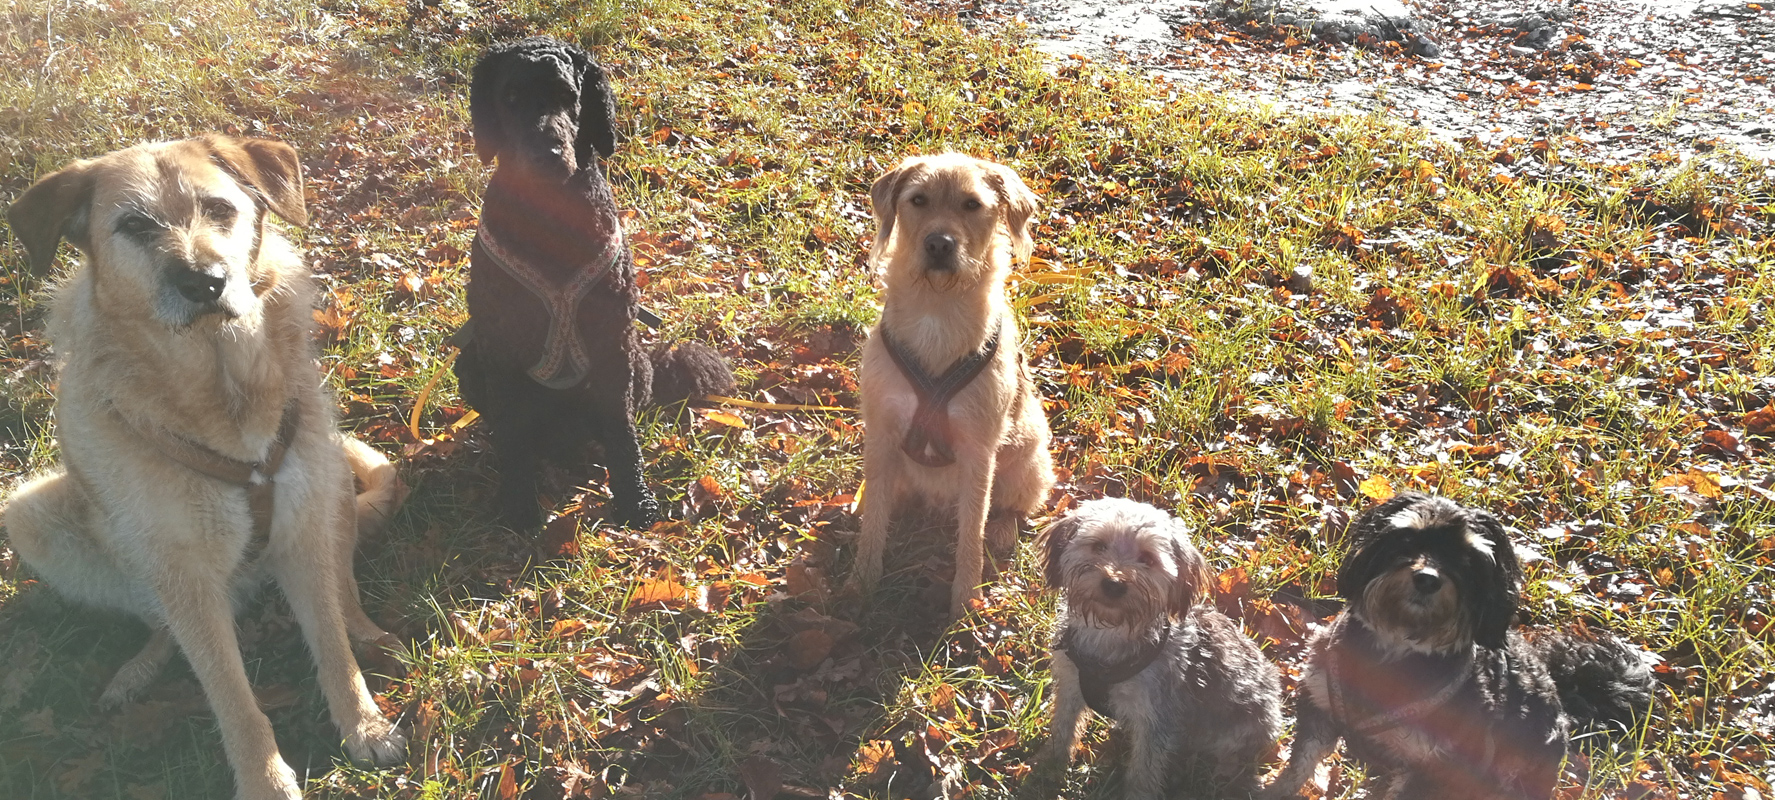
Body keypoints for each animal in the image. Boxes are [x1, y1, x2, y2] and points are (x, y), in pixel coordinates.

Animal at [4, 134, 406, 798]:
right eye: (134, 225)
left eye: (220, 210)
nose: (205, 282)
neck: (222, 385)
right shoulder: (186, 579)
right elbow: (232, 698)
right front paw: (265, 780)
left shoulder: (300, 531)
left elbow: (332, 648)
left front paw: (364, 724)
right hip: (31, 517)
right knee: (161, 626)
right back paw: (137, 671)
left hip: (328, 489)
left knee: (342, 589)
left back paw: (369, 633)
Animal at [461, 37, 738, 532]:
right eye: (510, 96)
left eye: (567, 96)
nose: (547, 155)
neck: (549, 220)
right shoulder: (500, 348)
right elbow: (512, 435)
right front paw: (518, 502)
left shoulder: (612, 341)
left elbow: (622, 432)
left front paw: (634, 500)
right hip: (472, 362)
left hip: (634, 364)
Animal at [855, 151, 1050, 620]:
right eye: (918, 200)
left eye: (972, 205)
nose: (940, 244)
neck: (937, 310)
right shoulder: (881, 434)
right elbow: (874, 519)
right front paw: (861, 580)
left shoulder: (978, 452)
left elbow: (971, 532)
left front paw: (965, 599)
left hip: (1027, 464)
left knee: (1010, 509)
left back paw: (1003, 529)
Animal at [1036, 496, 1285, 798]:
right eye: (1099, 546)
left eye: (1147, 559)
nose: (1114, 584)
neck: (1110, 634)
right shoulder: (1070, 682)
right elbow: (1063, 725)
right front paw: (1049, 764)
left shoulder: (1155, 717)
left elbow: (1144, 770)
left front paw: (1137, 794)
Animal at [1263, 493, 1647, 800]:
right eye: (1407, 539)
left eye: (1467, 560)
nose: (1427, 579)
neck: (1393, 654)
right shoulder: (1320, 706)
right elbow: (1299, 765)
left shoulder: (1434, 765)